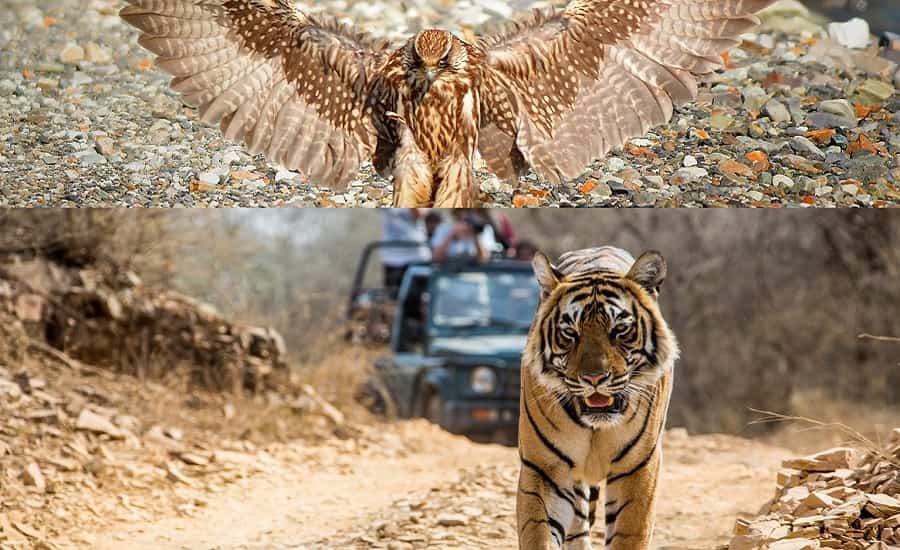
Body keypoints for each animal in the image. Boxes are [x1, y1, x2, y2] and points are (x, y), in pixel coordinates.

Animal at [517, 246, 679, 550]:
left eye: (620, 330)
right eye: (570, 333)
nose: (594, 379)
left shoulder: (638, 468)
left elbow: (630, 535)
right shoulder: (544, 469)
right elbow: (538, 533)